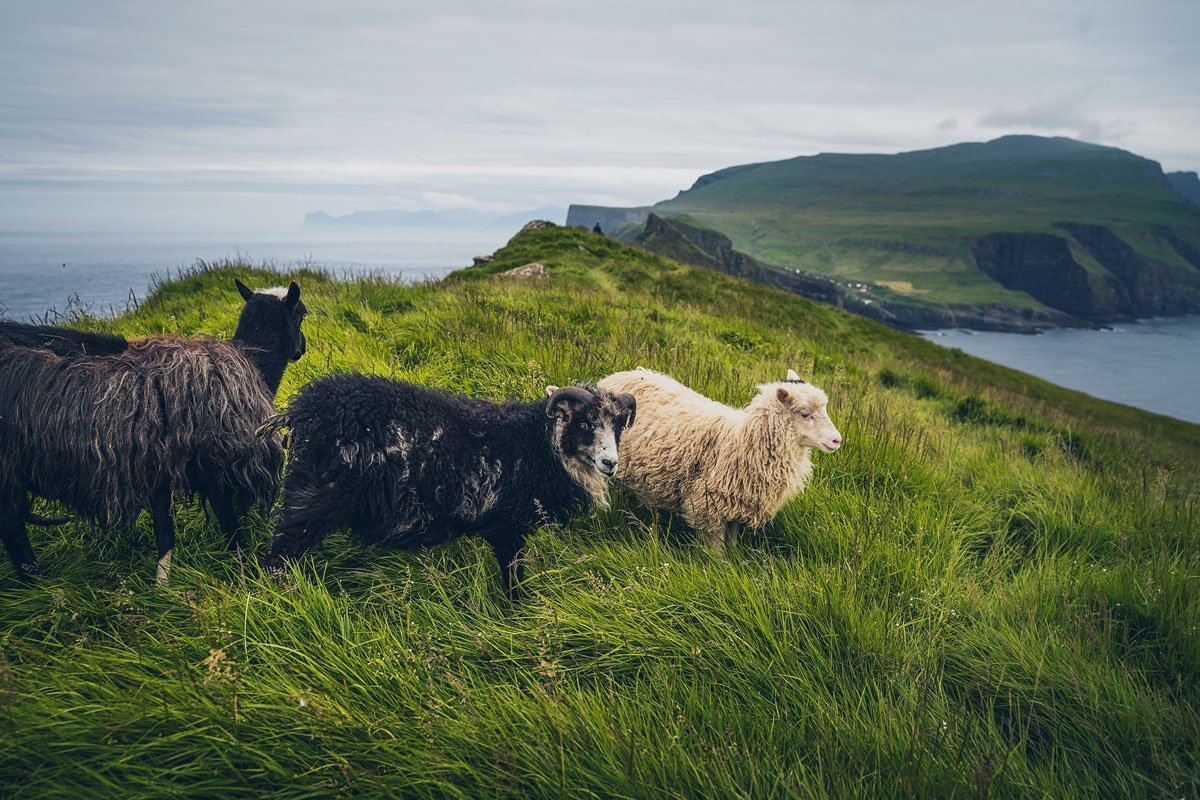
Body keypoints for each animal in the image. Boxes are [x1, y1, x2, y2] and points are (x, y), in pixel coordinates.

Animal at [0, 279, 308, 581]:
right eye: (302, 313)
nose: (302, 349)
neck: (254, 362)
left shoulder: (161, 469)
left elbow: (165, 534)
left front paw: (162, 587)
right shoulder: (212, 466)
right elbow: (230, 527)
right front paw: (244, 573)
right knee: (13, 530)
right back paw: (35, 583)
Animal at [261, 376, 637, 603]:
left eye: (619, 425)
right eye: (585, 424)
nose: (610, 463)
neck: (538, 444)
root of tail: (304, 409)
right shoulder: (507, 525)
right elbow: (513, 577)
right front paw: (517, 617)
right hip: (312, 496)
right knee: (279, 553)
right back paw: (279, 596)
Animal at [596, 367, 841, 552]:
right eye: (804, 414)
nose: (837, 440)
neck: (743, 441)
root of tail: (617, 375)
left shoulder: (738, 507)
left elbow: (732, 542)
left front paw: (733, 563)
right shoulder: (708, 505)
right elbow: (716, 550)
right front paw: (719, 569)